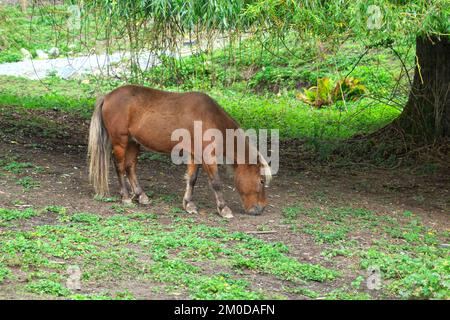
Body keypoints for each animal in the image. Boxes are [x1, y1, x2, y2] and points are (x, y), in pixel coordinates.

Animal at [88, 85, 270, 219]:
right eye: (261, 180)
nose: (260, 209)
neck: (209, 118)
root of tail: (108, 96)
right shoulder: (207, 156)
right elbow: (216, 182)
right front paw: (224, 209)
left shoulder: (195, 155)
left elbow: (192, 179)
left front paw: (188, 204)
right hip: (120, 142)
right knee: (119, 167)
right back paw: (126, 197)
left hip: (134, 143)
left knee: (130, 167)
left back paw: (141, 196)